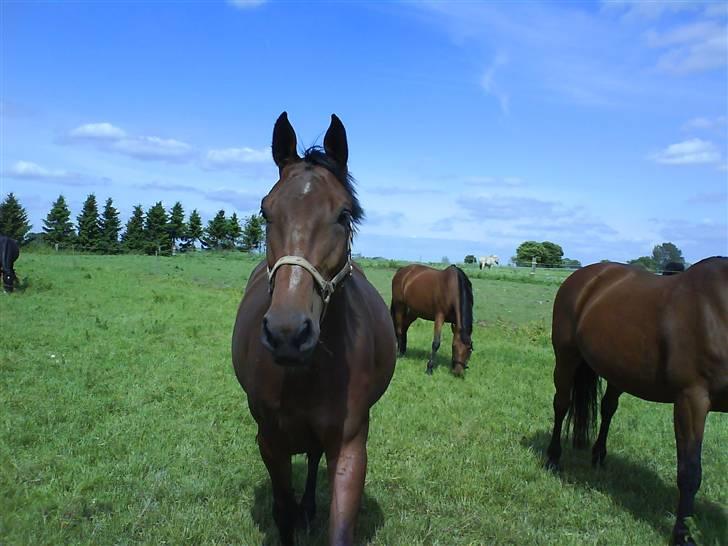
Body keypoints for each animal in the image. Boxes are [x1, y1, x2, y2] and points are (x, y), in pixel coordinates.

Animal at [232, 111, 392, 544]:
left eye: (344, 214)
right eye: (265, 212)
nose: (288, 332)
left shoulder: (351, 445)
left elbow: (340, 527)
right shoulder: (270, 442)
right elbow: (281, 513)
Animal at [548, 256, 724, 544]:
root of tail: (585, 275)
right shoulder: (692, 399)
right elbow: (690, 472)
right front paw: (681, 533)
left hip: (616, 371)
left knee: (608, 409)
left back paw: (599, 458)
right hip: (566, 357)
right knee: (561, 404)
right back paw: (553, 459)